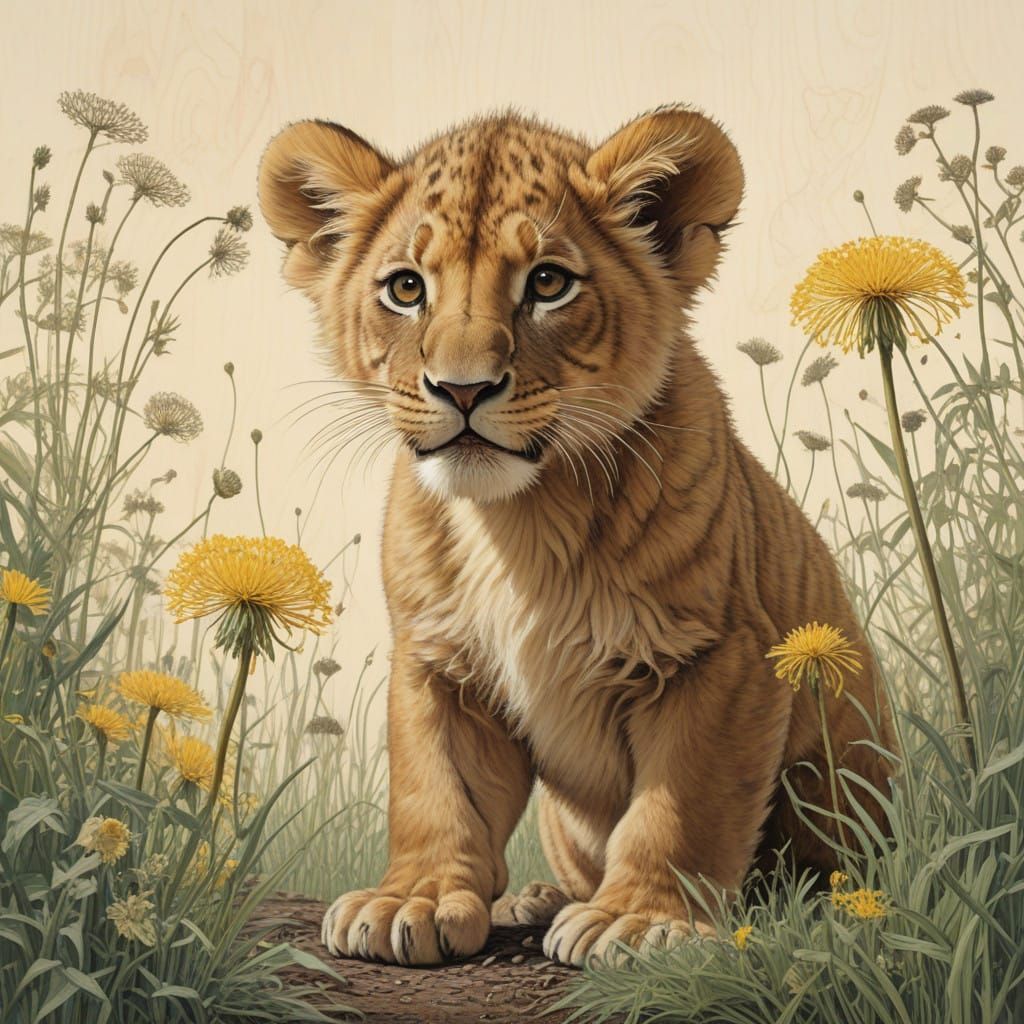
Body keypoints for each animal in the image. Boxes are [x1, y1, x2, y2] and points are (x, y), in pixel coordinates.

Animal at [257, 105, 895, 968]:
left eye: (548, 283)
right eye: (406, 288)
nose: (462, 389)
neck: (517, 522)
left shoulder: (722, 657)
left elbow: (680, 805)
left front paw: (642, 921)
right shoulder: (438, 664)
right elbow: (436, 790)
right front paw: (410, 901)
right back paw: (537, 897)